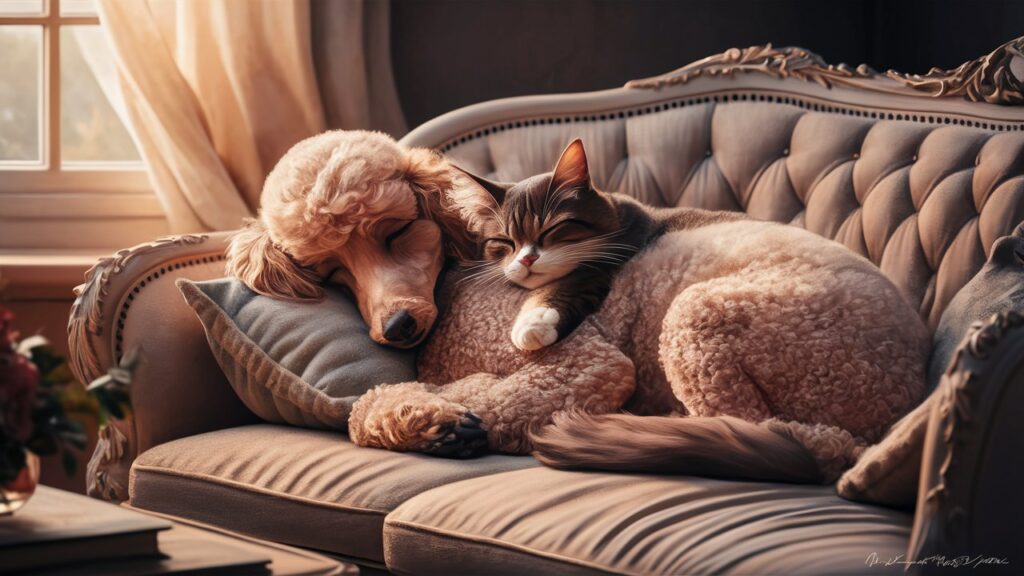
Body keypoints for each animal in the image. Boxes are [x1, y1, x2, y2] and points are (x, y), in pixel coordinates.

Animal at [456, 141, 745, 352]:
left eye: (550, 229)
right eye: (504, 241)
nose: (526, 260)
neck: (621, 216)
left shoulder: (609, 257)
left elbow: (570, 281)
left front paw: (534, 323)